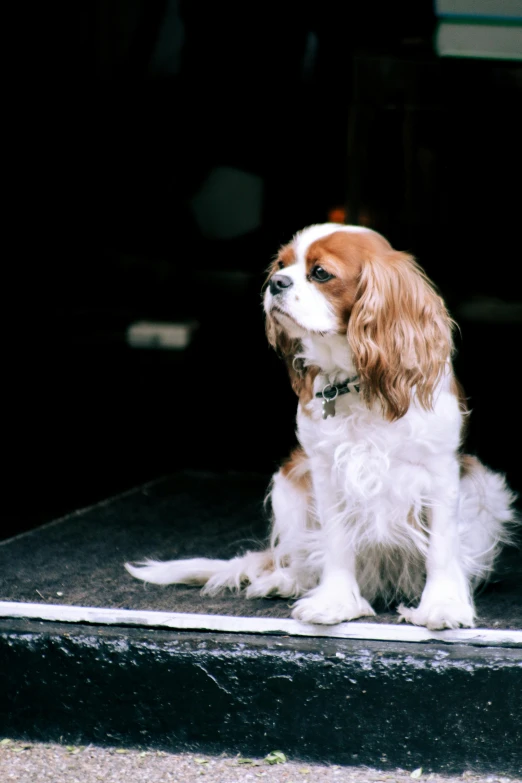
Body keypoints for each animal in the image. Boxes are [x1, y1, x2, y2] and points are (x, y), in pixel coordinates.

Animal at [124, 222, 512, 632]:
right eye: (281, 265)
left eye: (321, 273)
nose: (275, 282)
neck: (356, 382)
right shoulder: (327, 473)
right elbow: (335, 544)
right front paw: (334, 602)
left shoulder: (439, 473)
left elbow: (441, 548)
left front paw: (443, 605)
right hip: (288, 484)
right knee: (301, 557)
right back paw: (284, 580)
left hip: (488, 491)